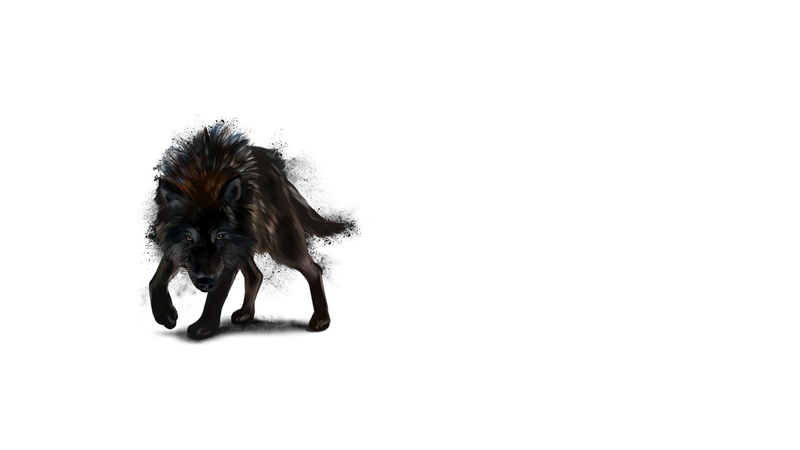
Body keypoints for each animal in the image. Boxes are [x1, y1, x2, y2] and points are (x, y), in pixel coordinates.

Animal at [148, 121, 349, 340]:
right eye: (188, 237)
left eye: (219, 236)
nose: (205, 281)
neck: (204, 178)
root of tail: (277, 170)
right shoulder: (176, 249)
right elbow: (155, 282)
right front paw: (166, 315)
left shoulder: (226, 259)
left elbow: (215, 297)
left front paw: (204, 326)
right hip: (246, 244)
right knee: (256, 275)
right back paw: (245, 314)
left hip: (281, 245)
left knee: (314, 269)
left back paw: (321, 319)